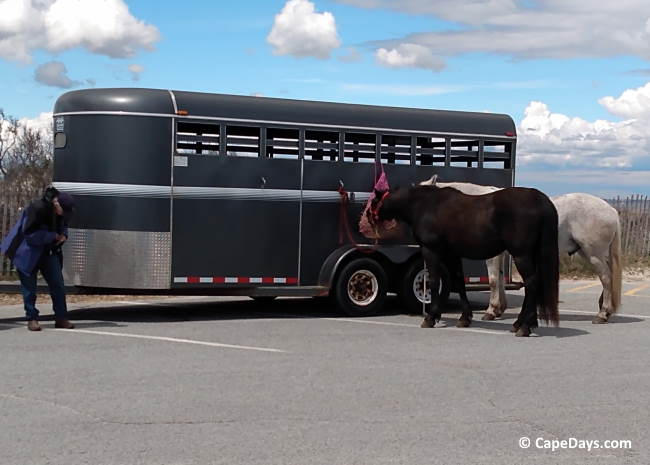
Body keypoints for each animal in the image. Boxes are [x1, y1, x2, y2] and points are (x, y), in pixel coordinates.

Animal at [368, 185, 560, 336]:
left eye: (373, 201)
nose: (367, 219)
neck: (424, 206)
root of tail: (540, 199)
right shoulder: (452, 254)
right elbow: (459, 282)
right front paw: (464, 318)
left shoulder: (431, 251)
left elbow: (433, 281)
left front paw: (431, 317)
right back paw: (522, 323)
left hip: (521, 255)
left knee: (532, 284)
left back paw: (524, 327)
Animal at [421, 176, 622, 324]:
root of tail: (611, 210)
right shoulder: (501, 254)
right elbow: (500, 279)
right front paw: (499, 309)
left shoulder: (493, 256)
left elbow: (493, 280)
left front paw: (491, 311)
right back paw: (606, 310)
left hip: (592, 253)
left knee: (606, 278)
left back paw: (602, 314)